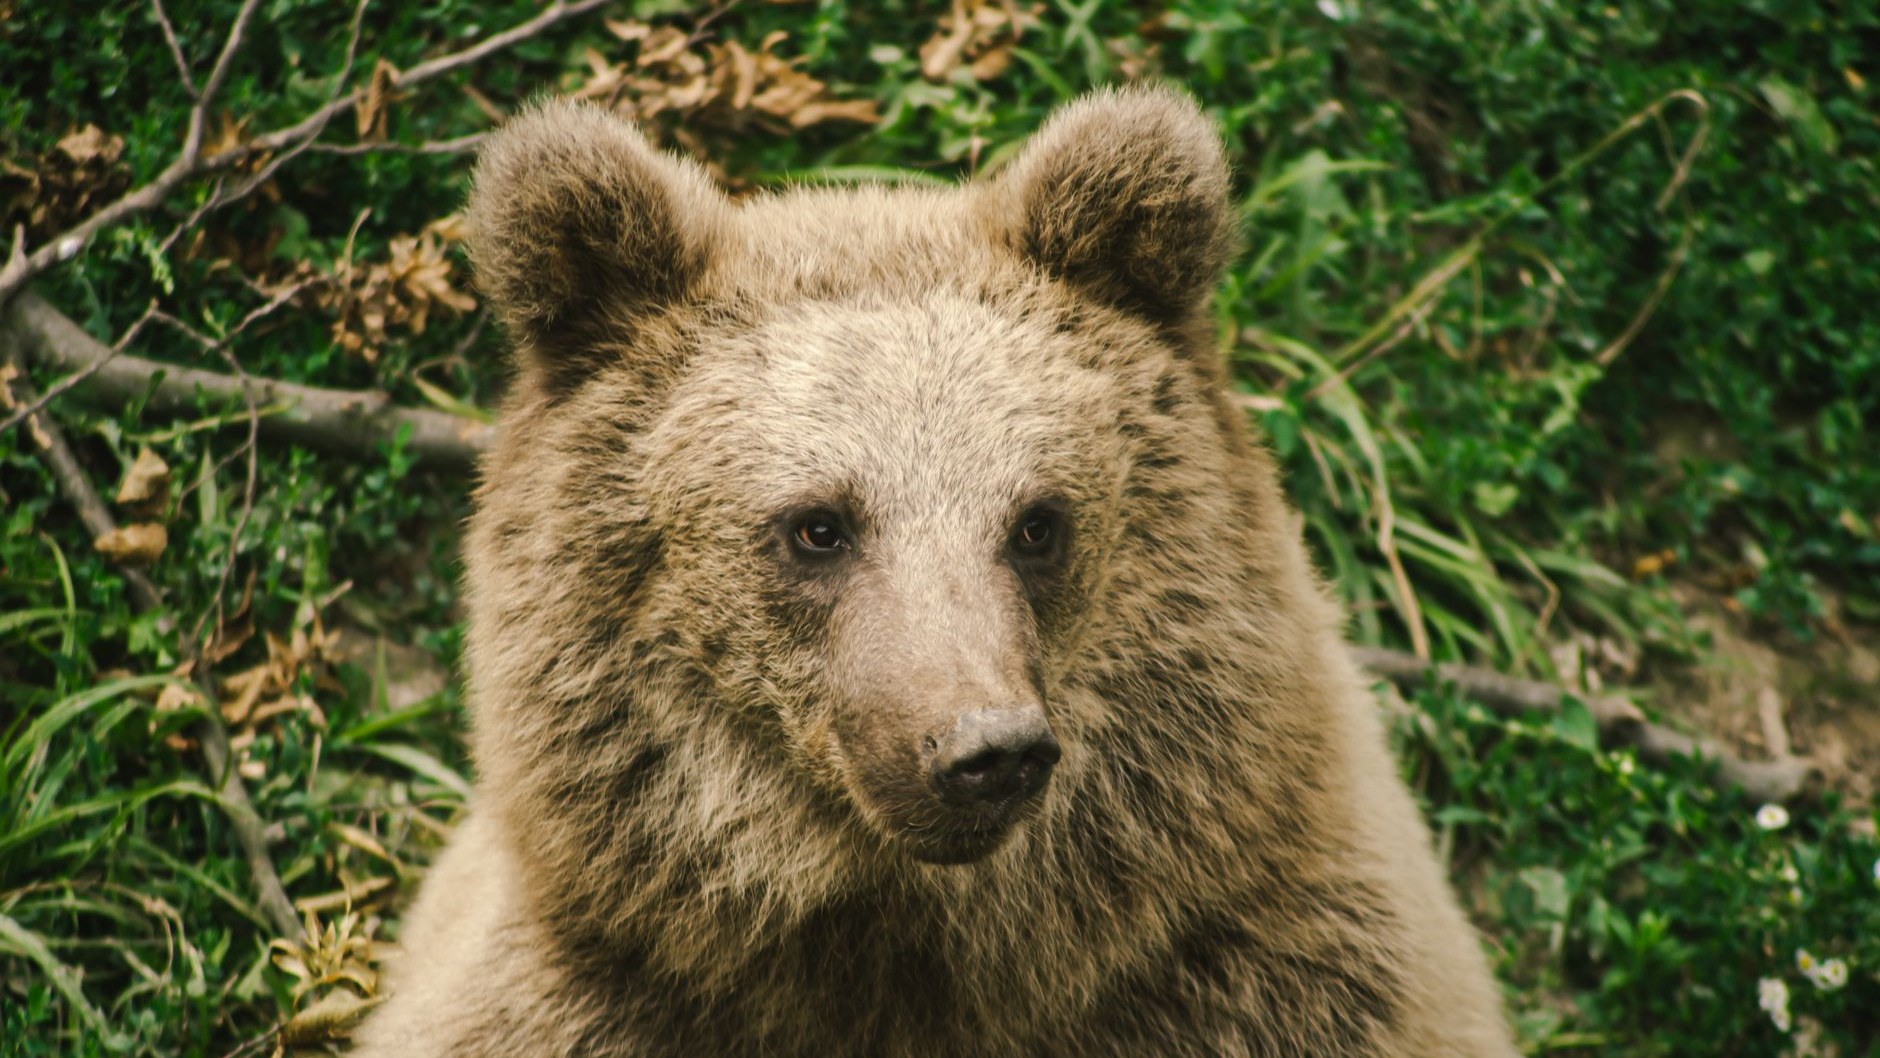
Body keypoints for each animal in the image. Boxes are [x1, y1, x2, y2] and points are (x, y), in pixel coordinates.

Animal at [350, 86, 1518, 1057]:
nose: (985, 750)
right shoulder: (588, 997)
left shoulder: (1275, 978)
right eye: (817, 525)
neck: (916, 952)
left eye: (1038, 522)